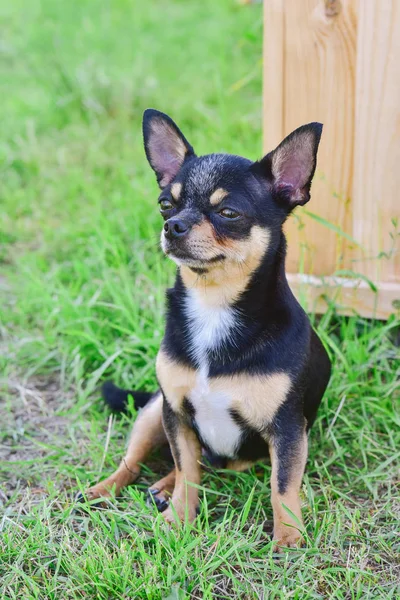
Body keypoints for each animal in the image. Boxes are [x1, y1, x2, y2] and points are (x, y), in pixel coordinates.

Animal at [84, 110, 332, 552]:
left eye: (228, 213)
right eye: (165, 204)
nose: (173, 226)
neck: (213, 305)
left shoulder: (287, 430)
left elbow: (283, 485)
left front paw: (288, 538)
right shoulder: (177, 414)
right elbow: (188, 470)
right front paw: (177, 521)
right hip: (153, 412)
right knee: (138, 462)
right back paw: (110, 488)